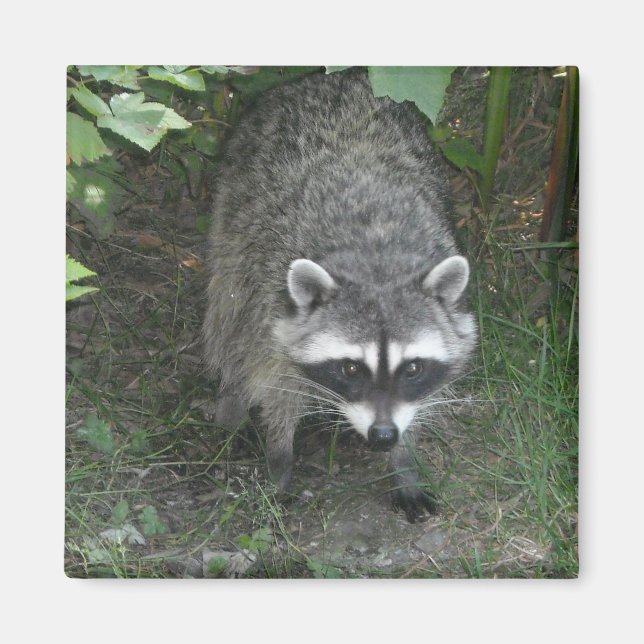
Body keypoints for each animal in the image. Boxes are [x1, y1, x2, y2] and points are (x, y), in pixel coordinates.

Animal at [202, 68, 477, 522]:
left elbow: (417, 402)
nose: (383, 435)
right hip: (233, 203)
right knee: (226, 308)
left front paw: (404, 462)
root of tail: (331, 78)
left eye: (412, 368)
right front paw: (279, 458)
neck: (377, 262)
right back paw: (231, 392)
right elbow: (275, 384)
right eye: (350, 368)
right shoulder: (271, 300)